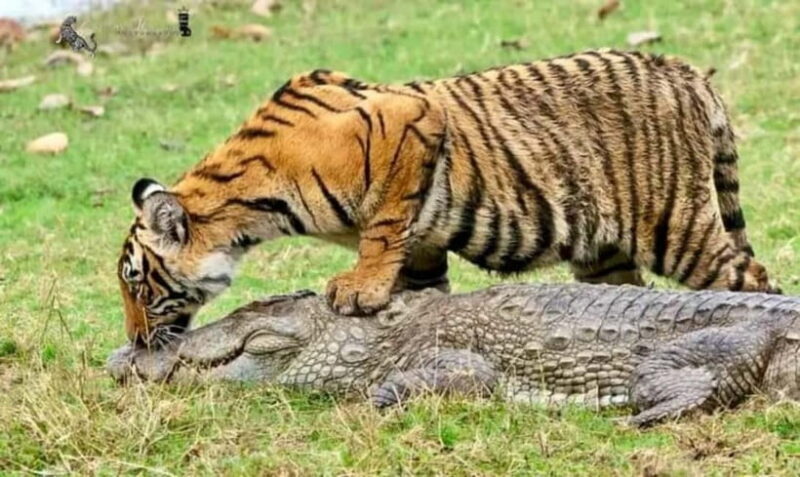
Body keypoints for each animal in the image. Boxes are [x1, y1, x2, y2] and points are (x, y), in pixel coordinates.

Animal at [118, 49, 779, 345]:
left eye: (139, 285)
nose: (135, 342)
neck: (249, 210)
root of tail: (684, 70)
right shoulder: (424, 232)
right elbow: (415, 266)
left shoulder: (407, 122)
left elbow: (384, 225)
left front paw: (358, 291)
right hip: (604, 252)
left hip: (676, 227)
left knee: (754, 281)